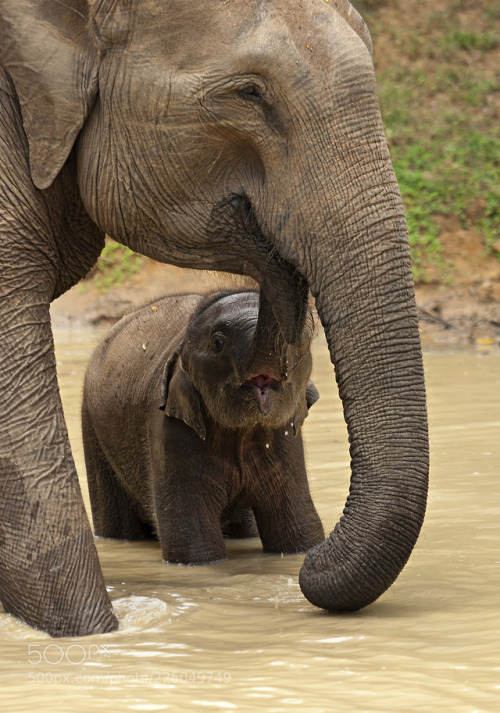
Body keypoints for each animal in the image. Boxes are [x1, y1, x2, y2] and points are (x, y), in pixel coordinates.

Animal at [82, 290, 324, 560]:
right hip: (92, 428)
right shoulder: (169, 433)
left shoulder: (286, 435)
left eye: (296, 346)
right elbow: (193, 542)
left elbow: (299, 527)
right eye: (217, 344)